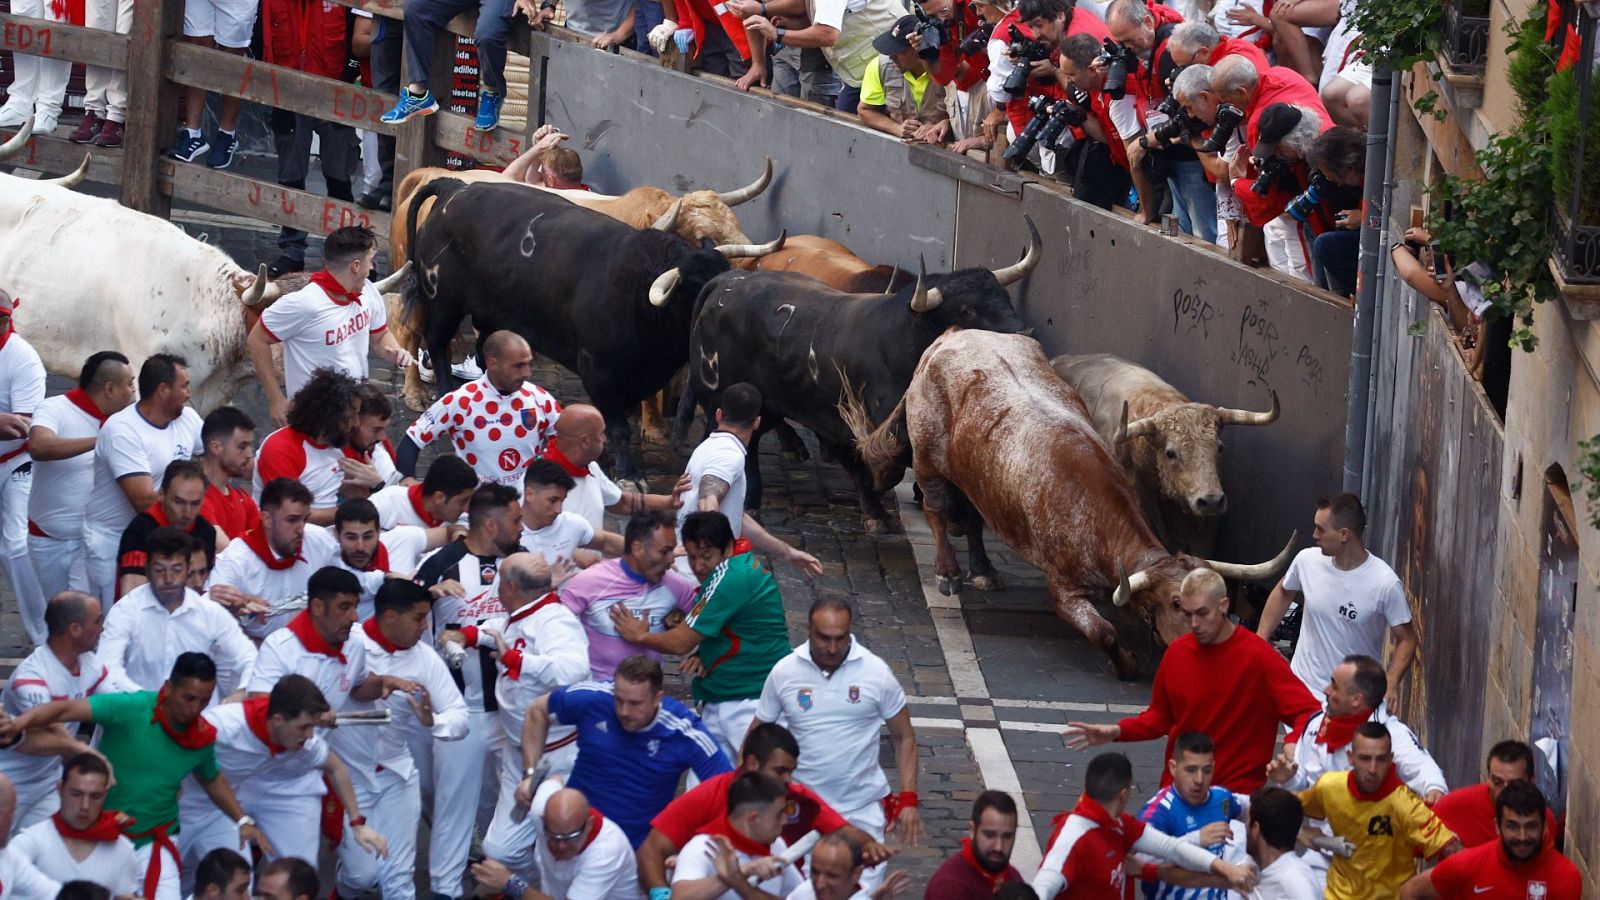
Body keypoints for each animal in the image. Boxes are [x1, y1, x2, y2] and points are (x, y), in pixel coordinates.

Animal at [403, 177, 784, 480]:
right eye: (694, 286)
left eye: (725, 277)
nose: (724, 308)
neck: (638, 293)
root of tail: (457, 188)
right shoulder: (598, 370)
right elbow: (617, 426)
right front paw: (629, 473)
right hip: (444, 300)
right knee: (436, 344)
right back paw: (442, 397)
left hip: (493, 315)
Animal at [681, 217, 1043, 528]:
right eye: (967, 309)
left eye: (1003, 296)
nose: (1023, 331)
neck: (901, 340)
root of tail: (726, 282)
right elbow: (874, 464)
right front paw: (877, 506)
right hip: (724, 395)